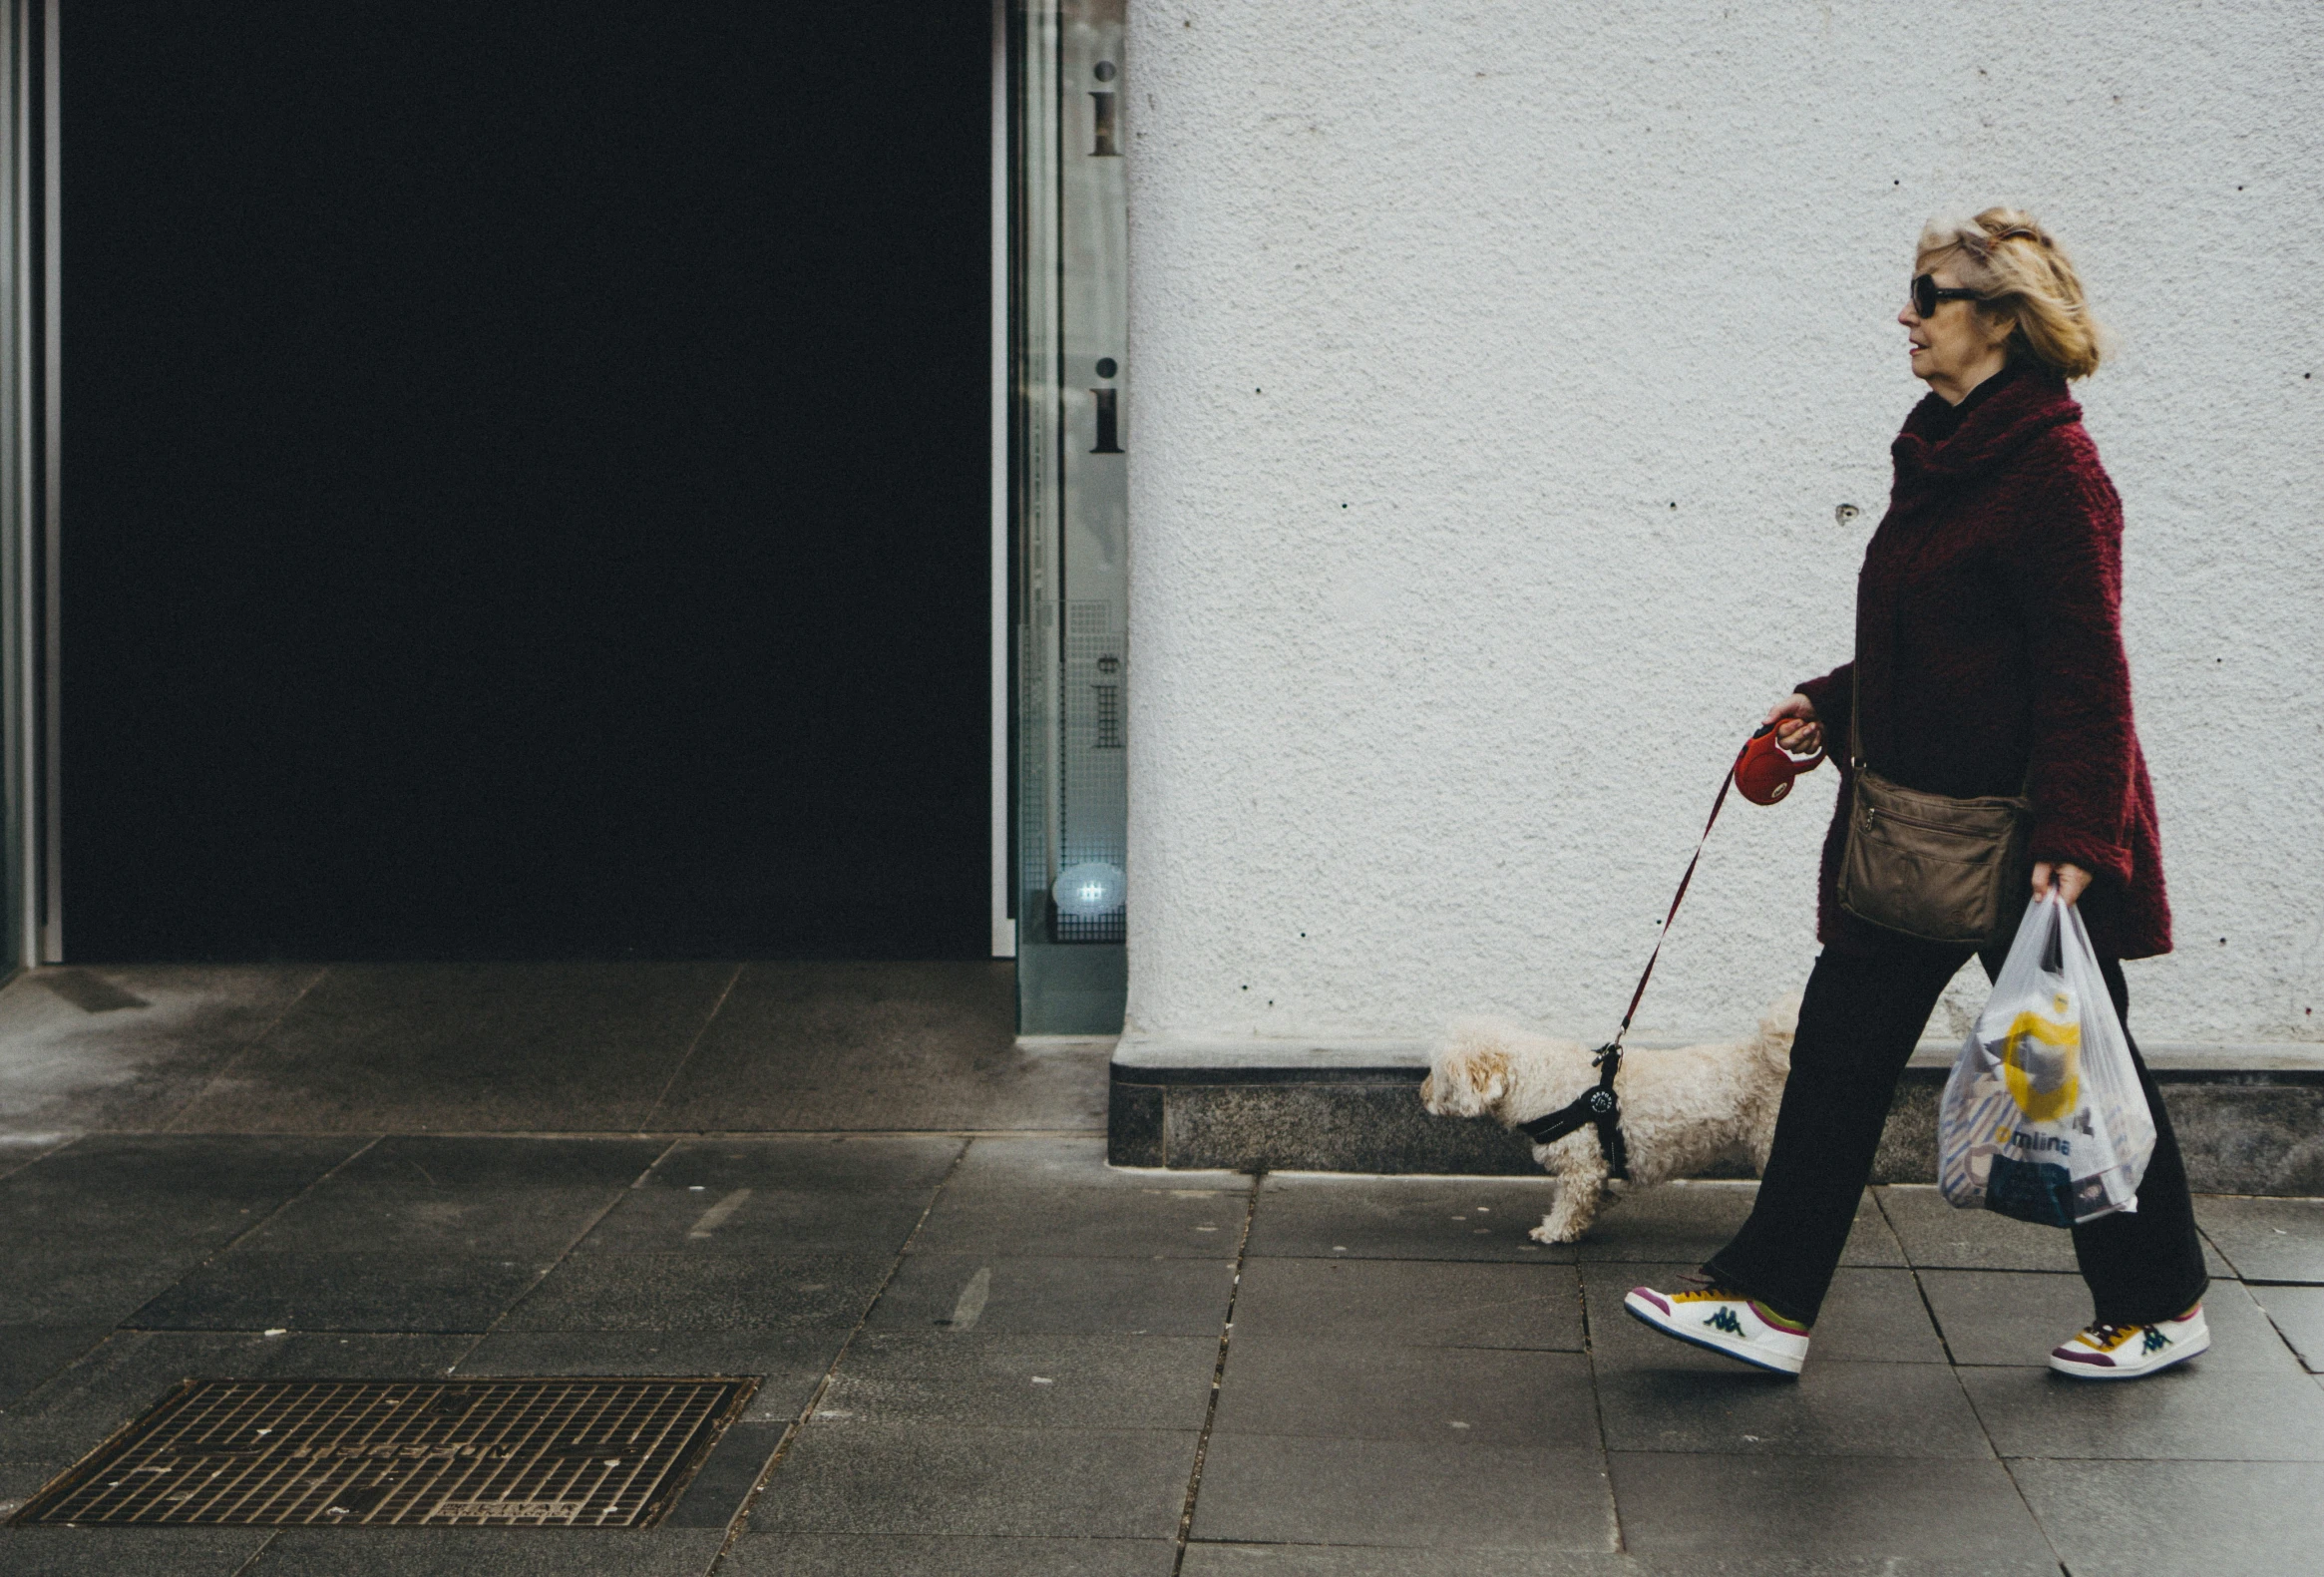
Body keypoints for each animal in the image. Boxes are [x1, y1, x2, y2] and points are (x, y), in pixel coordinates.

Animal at [1412, 998, 1793, 1245]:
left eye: (1437, 1071)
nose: (1420, 1094)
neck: (1539, 1079)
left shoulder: (1581, 1163)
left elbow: (1569, 1202)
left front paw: (1553, 1232)